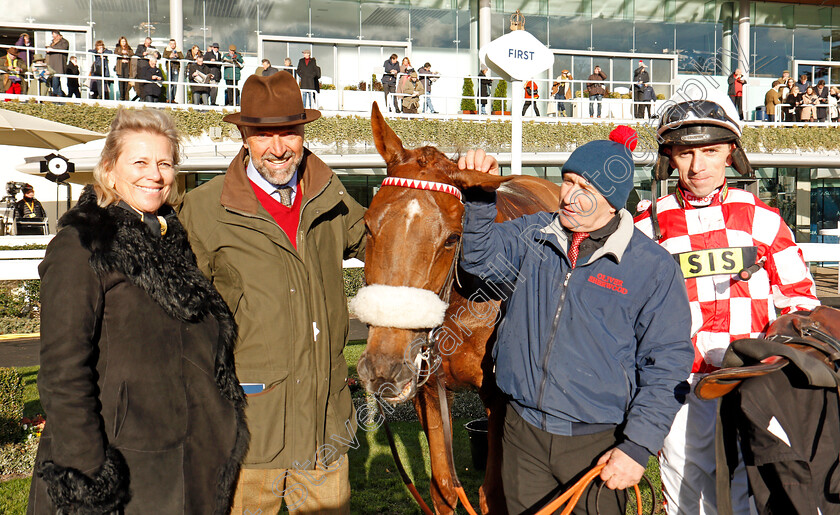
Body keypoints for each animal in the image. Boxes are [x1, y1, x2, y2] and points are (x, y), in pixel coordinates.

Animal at [352, 103, 560, 512]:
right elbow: (444, 489)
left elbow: (491, 494)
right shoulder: (429, 391)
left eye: (451, 238)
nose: (384, 366)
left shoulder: (500, 399)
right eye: (367, 226)